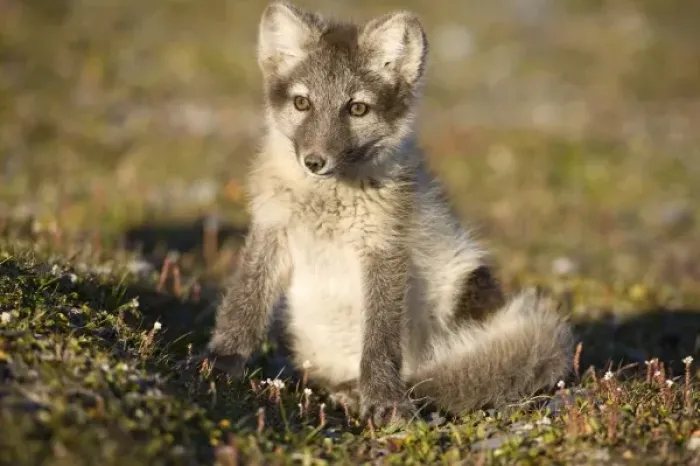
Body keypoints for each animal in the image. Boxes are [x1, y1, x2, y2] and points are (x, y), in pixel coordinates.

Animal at [207, 1, 574, 425]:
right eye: (302, 103)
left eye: (357, 108)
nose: (314, 161)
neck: (327, 204)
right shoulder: (272, 228)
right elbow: (243, 307)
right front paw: (219, 366)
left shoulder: (384, 248)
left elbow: (380, 340)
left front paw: (385, 399)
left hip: (464, 286)